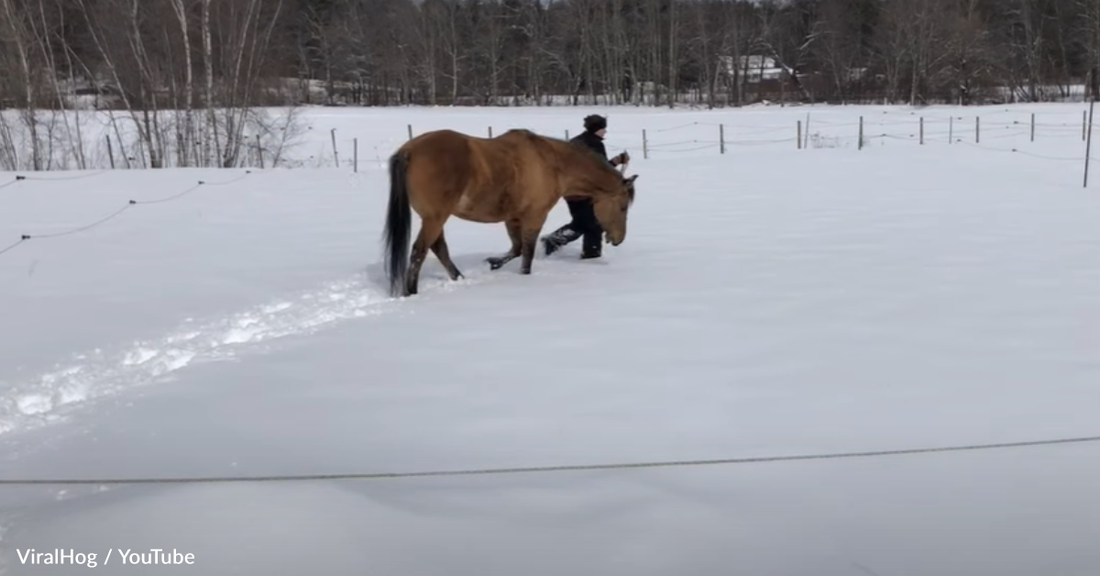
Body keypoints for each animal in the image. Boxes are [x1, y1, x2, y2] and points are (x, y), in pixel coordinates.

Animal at [380, 128, 638, 298]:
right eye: (623, 206)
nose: (619, 239)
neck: (552, 163)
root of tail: (409, 150)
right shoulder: (535, 217)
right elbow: (527, 252)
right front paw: (523, 275)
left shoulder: (512, 218)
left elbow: (516, 248)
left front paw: (494, 263)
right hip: (435, 217)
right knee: (420, 252)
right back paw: (411, 292)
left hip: (434, 217)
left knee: (438, 248)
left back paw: (459, 278)